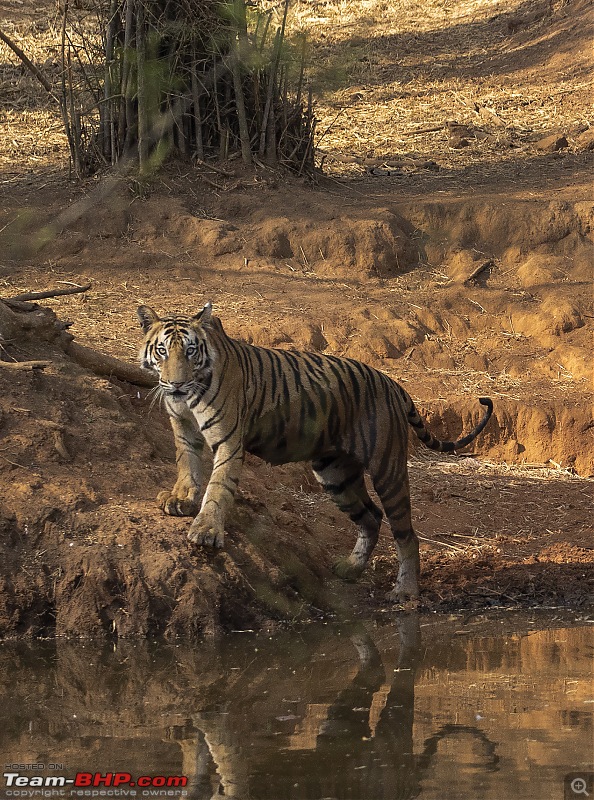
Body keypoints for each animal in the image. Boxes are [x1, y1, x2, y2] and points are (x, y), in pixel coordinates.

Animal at [138, 304, 490, 604]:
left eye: (190, 351)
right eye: (162, 350)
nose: (176, 384)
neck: (188, 398)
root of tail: (392, 383)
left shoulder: (228, 440)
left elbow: (217, 486)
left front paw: (206, 530)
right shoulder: (183, 427)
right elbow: (188, 466)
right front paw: (181, 499)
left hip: (387, 469)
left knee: (407, 534)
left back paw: (405, 591)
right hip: (335, 474)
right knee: (371, 516)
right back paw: (350, 569)